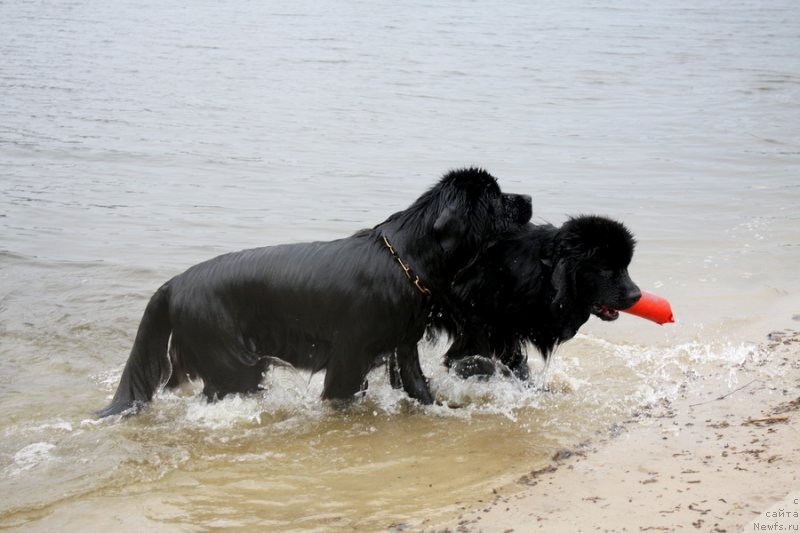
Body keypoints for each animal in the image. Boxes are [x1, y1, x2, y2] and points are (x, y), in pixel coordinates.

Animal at [98, 168, 532, 418]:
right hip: (234, 367)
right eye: (497, 198)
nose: (528, 198)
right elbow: (342, 393)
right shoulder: (349, 355)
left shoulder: (403, 346)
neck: (405, 257)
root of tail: (172, 285)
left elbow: (419, 388)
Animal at [434, 214, 640, 380]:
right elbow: (473, 362)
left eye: (625, 266)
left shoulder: (507, 330)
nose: (637, 295)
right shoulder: (478, 325)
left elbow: (516, 363)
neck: (543, 275)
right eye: (604, 267)